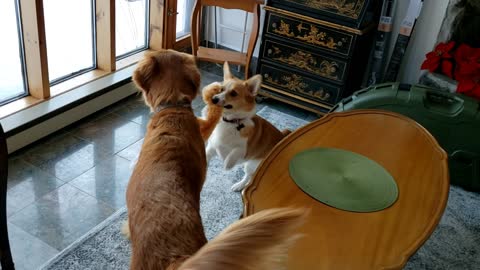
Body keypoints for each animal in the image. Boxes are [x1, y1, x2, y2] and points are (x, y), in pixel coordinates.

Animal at [126, 49, 308, 270]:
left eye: (233, 93)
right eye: (221, 89)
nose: (214, 98)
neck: (173, 108)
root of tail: (173, 258)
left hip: (253, 163)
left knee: (248, 174)